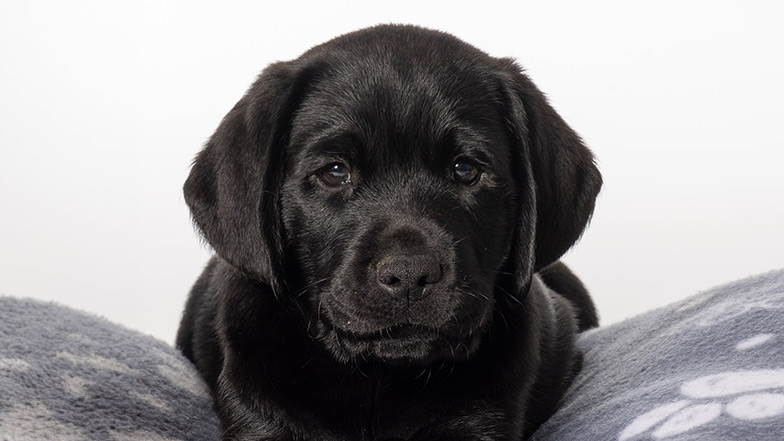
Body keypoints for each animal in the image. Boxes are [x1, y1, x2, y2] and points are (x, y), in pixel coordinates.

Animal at [178, 24, 604, 440]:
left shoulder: (482, 421)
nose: (410, 275)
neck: (379, 379)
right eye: (335, 172)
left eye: (466, 169)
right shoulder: (260, 416)